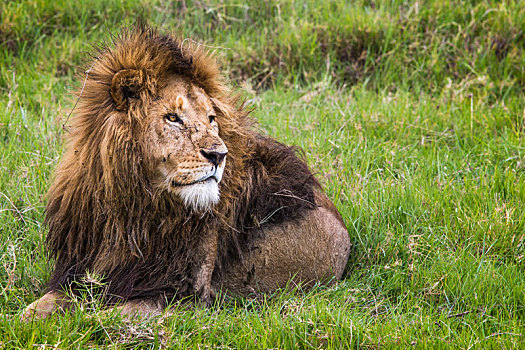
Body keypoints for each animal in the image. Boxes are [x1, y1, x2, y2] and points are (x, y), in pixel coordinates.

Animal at [21, 24, 348, 320]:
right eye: (173, 118)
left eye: (211, 118)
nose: (219, 155)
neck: (133, 210)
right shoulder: (78, 271)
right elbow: (36, 308)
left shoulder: (184, 293)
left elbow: (105, 317)